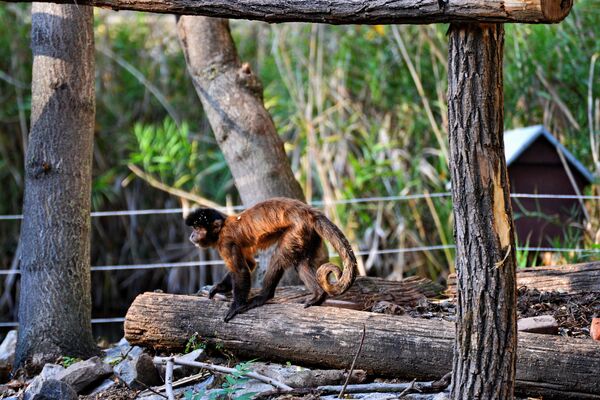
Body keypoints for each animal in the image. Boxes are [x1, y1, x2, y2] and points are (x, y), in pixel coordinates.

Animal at [185, 197, 358, 322]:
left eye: (198, 229)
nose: (192, 235)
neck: (222, 228)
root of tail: (308, 211)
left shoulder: (226, 242)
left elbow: (241, 270)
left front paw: (236, 306)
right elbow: (249, 264)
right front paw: (218, 288)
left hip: (297, 230)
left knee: (278, 258)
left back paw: (264, 296)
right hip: (308, 234)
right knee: (300, 263)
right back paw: (318, 295)